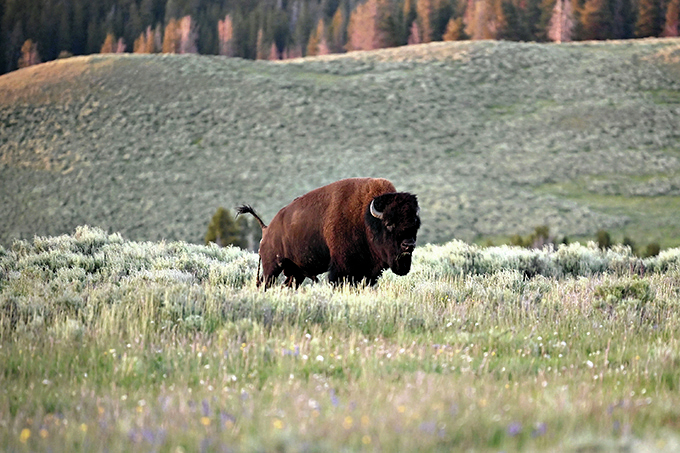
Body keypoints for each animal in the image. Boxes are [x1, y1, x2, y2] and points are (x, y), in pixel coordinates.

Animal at [237, 178, 420, 288]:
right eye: (389, 224)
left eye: (416, 224)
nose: (409, 244)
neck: (365, 218)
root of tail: (267, 229)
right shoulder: (341, 269)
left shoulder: (368, 273)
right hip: (272, 268)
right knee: (265, 284)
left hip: (295, 272)